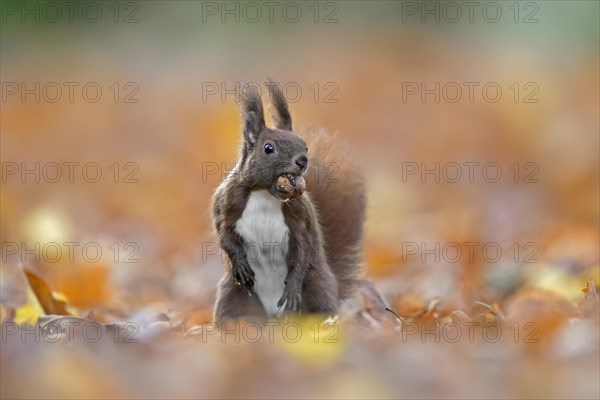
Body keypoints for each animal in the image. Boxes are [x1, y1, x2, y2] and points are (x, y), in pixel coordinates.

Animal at [213, 81, 368, 322]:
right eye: (268, 148)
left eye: (305, 145)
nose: (303, 161)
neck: (265, 194)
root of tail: (272, 315)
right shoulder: (227, 202)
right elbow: (225, 233)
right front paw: (240, 263)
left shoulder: (300, 216)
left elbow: (303, 247)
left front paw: (293, 285)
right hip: (234, 295)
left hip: (316, 289)